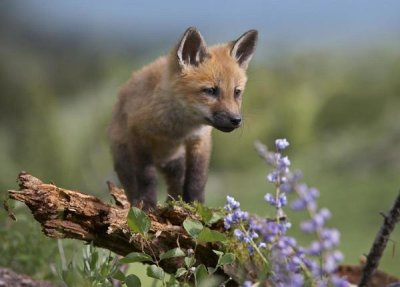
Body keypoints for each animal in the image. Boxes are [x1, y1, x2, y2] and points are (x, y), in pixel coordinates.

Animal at [108, 27, 258, 209]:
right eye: (210, 91)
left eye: (236, 92)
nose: (236, 120)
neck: (177, 129)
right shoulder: (138, 134)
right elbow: (146, 177)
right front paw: (147, 204)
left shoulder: (200, 140)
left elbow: (197, 178)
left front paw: (195, 205)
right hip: (125, 161)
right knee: (132, 184)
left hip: (175, 164)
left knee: (176, 185)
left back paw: (174, 202)